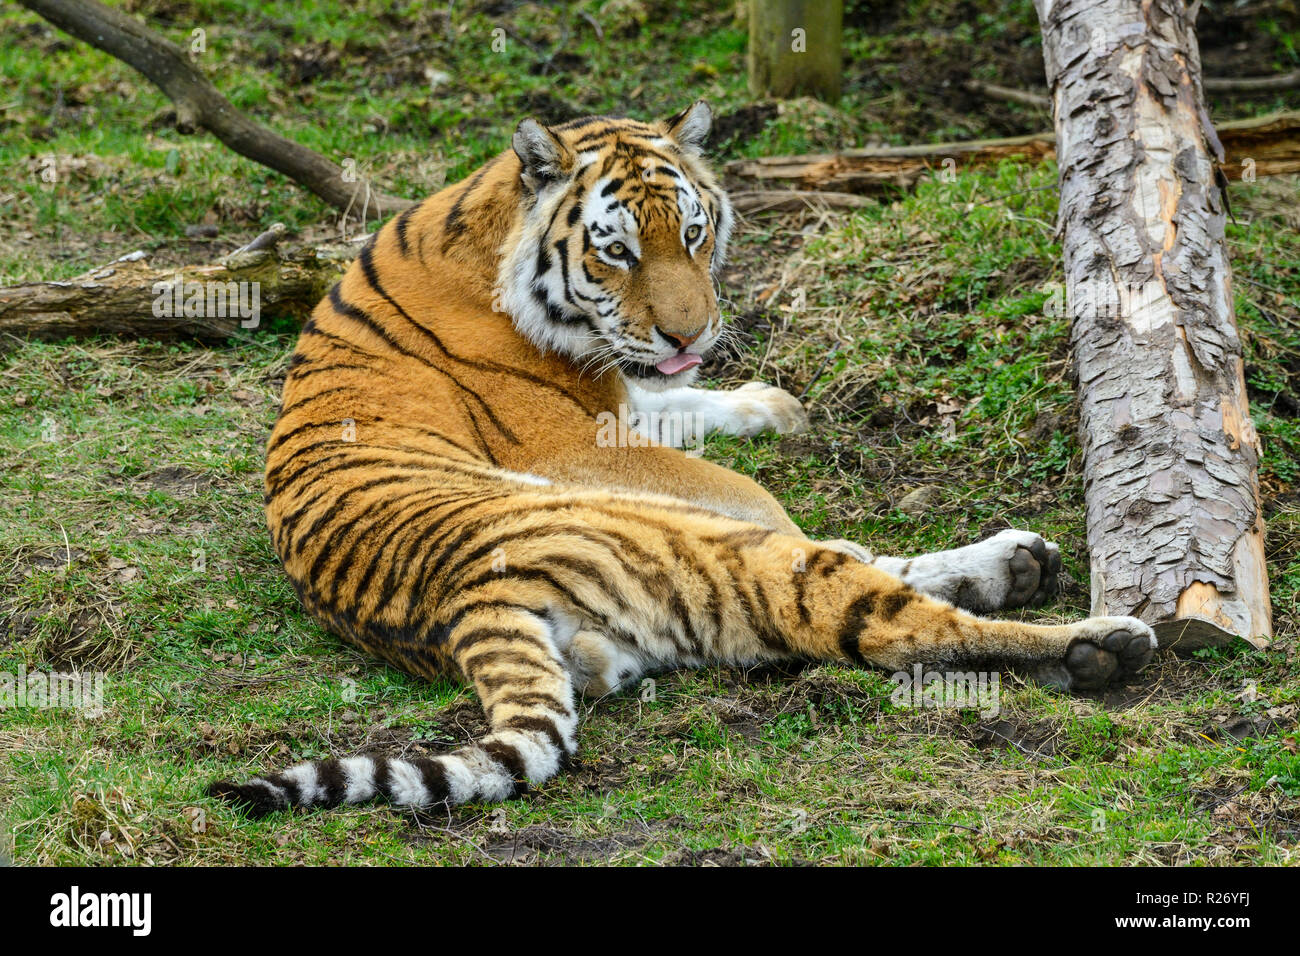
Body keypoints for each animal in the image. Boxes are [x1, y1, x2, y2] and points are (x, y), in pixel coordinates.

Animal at [207, 101, 1157, 816]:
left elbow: (683, 403)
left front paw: (775, 405)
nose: (690, 332)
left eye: (695, 234)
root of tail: (465, 601)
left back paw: (1019, 561)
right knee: (874, 609)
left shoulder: (623, 398)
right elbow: (749, 489)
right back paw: (1095, 640)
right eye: (617, 250)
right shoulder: (573, 440)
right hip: (682, 542)